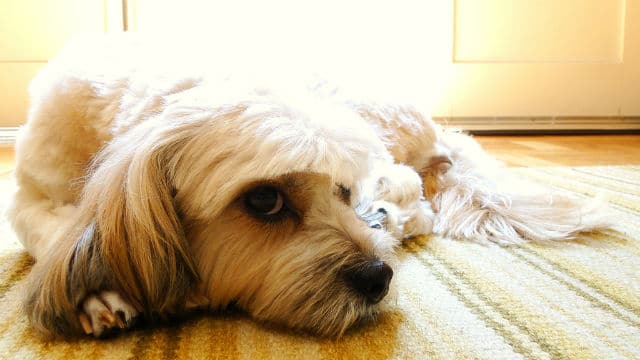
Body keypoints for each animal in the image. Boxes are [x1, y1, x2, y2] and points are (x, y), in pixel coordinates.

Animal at [8, 35, 608, 338]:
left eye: (342, 190)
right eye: (265, 200)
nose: (379, 277)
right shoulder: (29, 196)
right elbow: (54, 229)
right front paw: (95, 290)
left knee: (415, 193)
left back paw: (388, 213)